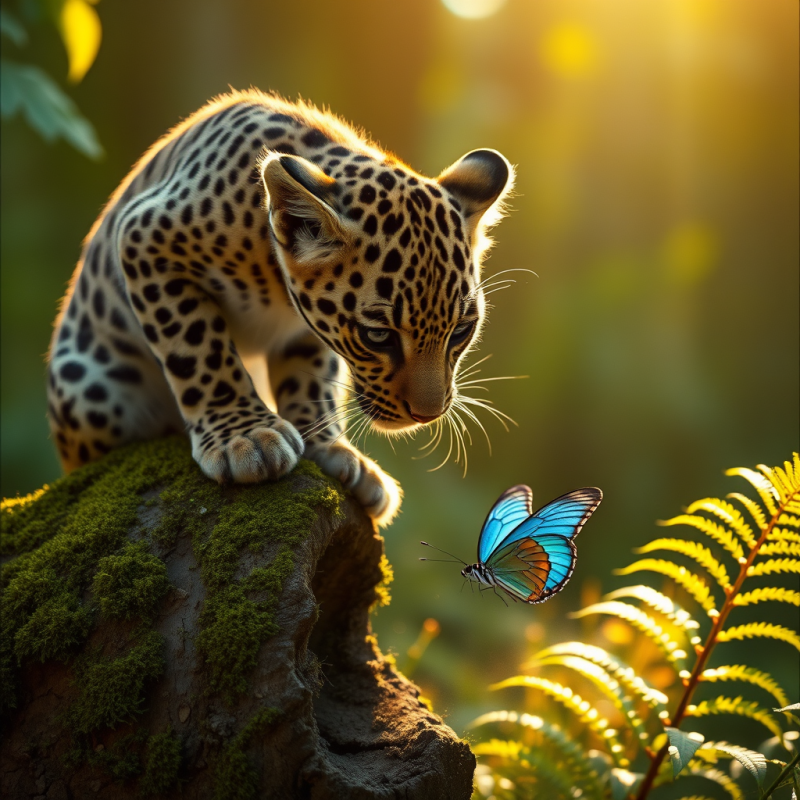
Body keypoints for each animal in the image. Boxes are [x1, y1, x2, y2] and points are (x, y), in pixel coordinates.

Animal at [46, 90, 514, 526]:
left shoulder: (306, 326)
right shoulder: (146, 237)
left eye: (461, 331)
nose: (427, 414)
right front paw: (245, 438)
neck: (272, 278)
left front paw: (332, 449)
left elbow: (311, 378)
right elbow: (199, 350)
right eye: (377, 335)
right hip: (87, 388)